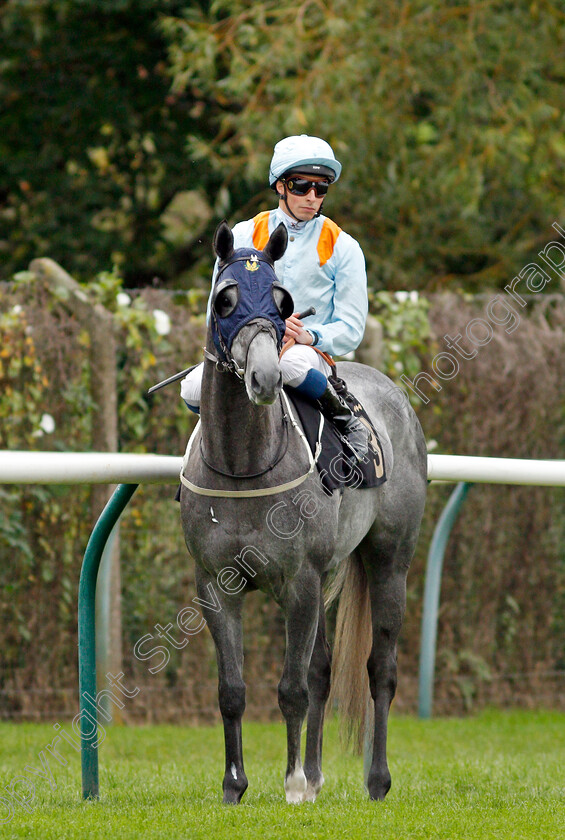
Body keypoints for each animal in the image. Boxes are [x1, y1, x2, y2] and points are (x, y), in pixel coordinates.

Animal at [178, 220, 426, 804]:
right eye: (224, 299)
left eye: (282, 301)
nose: (266, 378)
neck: (243, 465)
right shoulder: (215, 585)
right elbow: (232, 689)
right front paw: (235, 785)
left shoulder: (300, 581)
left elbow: (290, 689)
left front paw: (290, 783)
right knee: (322, 669)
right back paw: (314, 776)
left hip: (389, 562)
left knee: (379, 670)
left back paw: (375, 780)